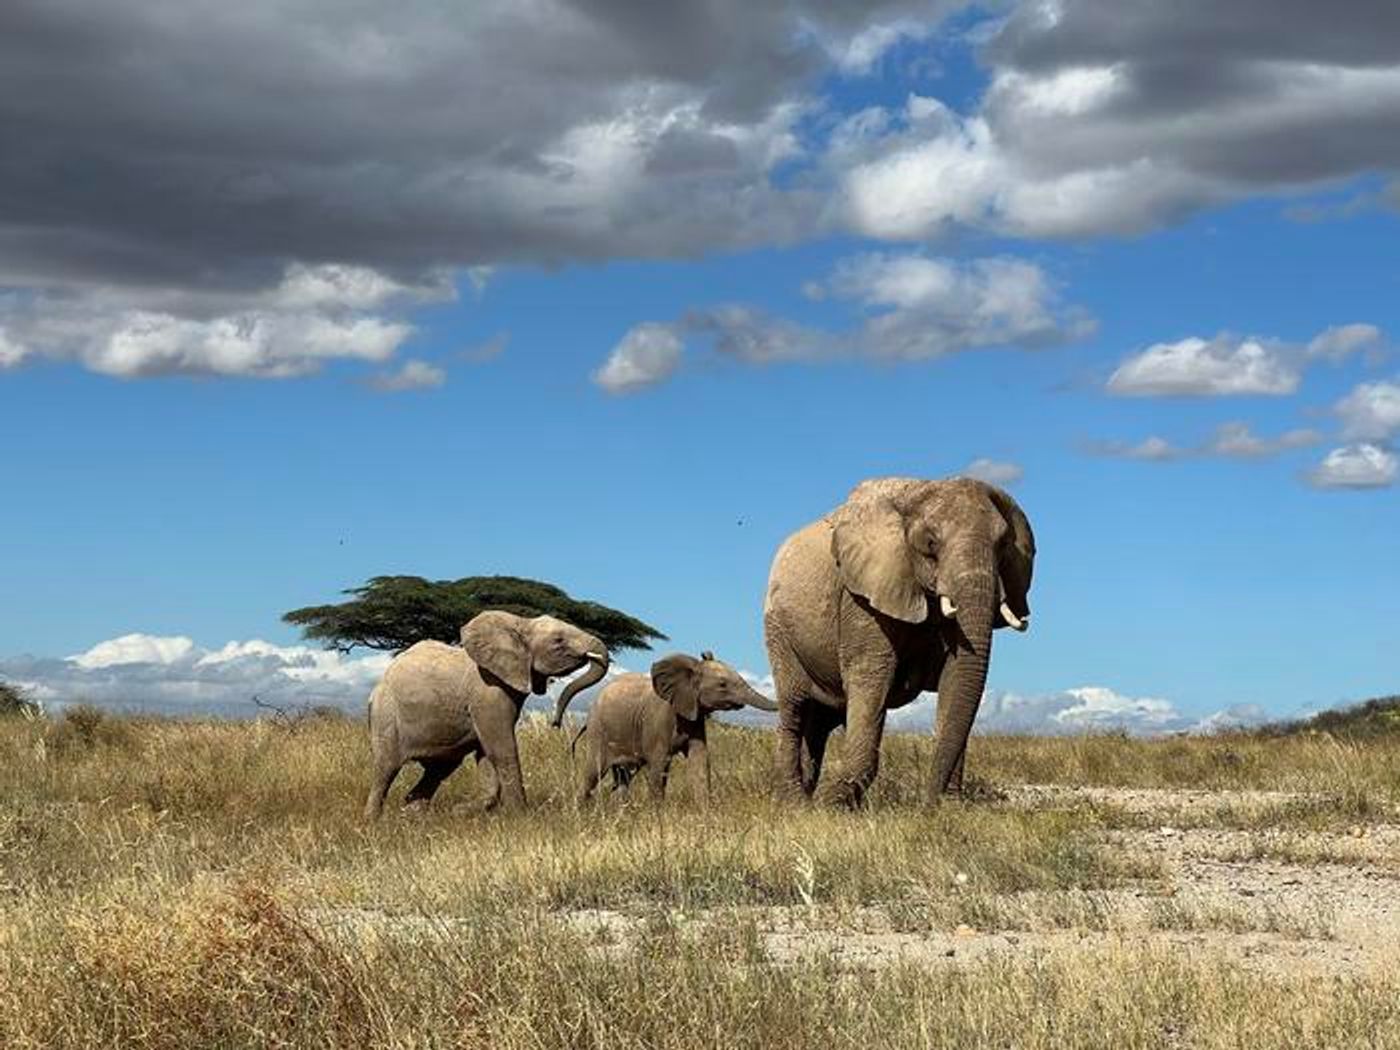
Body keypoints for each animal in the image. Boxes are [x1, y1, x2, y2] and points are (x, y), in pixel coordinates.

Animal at [361, 607, 607, 823]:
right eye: (558, 641)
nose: (555, 723)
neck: (521, 623)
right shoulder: (488, 691)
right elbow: (501, 748)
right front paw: (521, 816)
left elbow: (486, 754)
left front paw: (463, 811)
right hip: (386, 715)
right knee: (386, 768)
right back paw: (373, 822)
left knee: (439, 770)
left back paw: (413, 817)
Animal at [571, 649, 778, 806]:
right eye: (722, 684)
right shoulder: (657, 720)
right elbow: (659, 764)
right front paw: (657, 814)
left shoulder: (695, 716)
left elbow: (699, 760)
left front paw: (705, 812)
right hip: (599, 731)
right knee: (594, 771)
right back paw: (582, 811)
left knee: (622, 778)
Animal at [767, 476, 1030, 806]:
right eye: (930, 543)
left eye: (1003, 545)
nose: (928, 805)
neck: (918, 491)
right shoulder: (861, 596)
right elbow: (871, 676)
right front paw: (832, 804)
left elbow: (956, 679)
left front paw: (951, 806)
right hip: (778, 629)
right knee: (795, 707)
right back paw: (795, 803)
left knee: (820, 721)